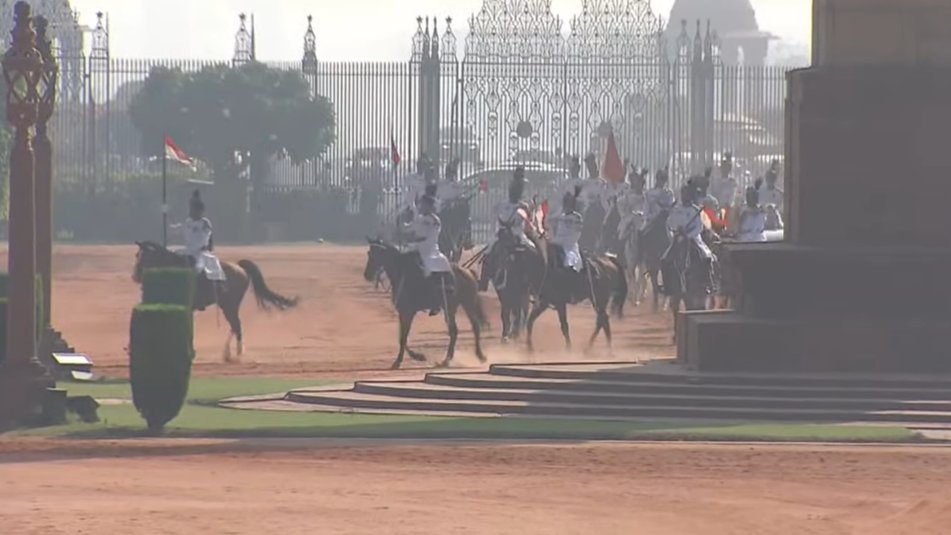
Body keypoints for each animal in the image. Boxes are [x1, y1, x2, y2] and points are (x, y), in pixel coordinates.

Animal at [133, 241, 298, 362]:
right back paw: (230, 353)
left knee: (236, 325)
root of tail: (239, 267)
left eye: (144, 255)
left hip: (229, 306)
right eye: (136, 255)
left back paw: (235, 353)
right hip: (228, 306)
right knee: (234, 325)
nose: (135, 276)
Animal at [362, 241, 488, 370]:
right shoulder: (403, 312)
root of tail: (468, 272)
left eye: (375, 254)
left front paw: (409, 358)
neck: (402, 273)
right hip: (460, 306)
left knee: (461, 329)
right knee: (465, 329)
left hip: (460, 306)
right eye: (369, 253)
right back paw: (464, 357)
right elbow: (402, 336)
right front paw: (413, 357)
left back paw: (454, 359)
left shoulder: (408, 312)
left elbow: (403, 337)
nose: (367, 275)